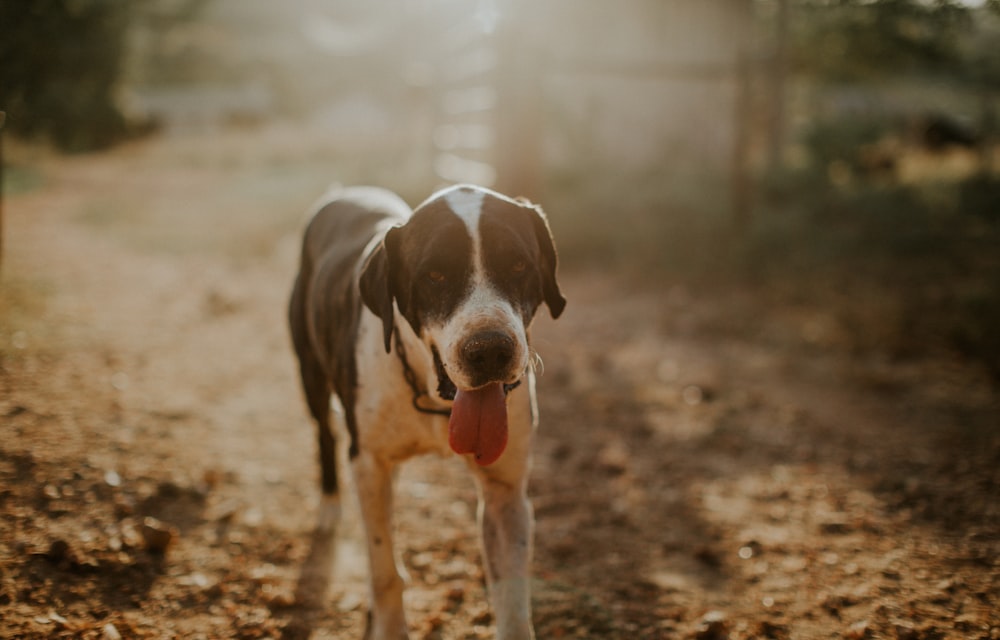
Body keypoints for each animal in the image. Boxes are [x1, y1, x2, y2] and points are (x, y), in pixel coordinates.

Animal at [290, 182, 568, 636]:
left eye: (518, 265)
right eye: (434, 275)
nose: (490, 350)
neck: (435, 399)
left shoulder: (505, 493)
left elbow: (512, 598)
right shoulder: (368, 462)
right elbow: (384, 571)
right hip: (311, 375)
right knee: (325, 434)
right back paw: (330, 505)